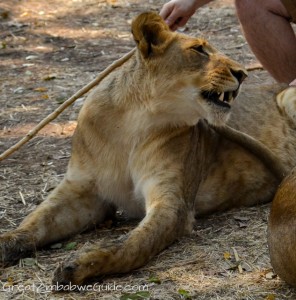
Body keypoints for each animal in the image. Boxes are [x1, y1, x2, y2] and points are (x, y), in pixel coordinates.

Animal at [0, 12, 296, 288]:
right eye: (199, 49)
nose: (243, 74)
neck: (134, 122)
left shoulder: (172, 203)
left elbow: (130, 246)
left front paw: (82, 265)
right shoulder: (83, 191)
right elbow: (37, 220)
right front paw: (7, 242)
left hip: (288, 96)